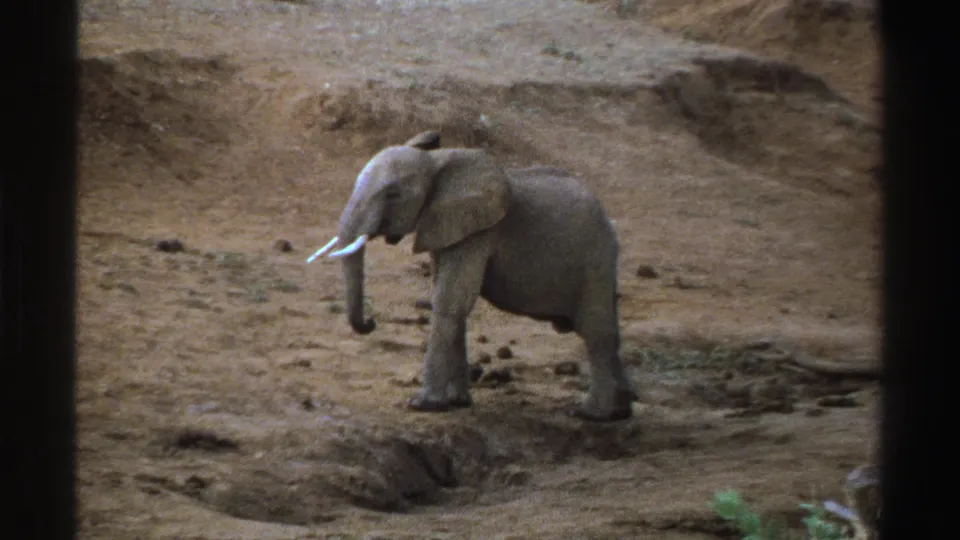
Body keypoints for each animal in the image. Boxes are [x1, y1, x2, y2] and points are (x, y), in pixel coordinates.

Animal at [308, 131, 635, 421]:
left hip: (594, 259)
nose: (372, 322)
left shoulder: (479, 231)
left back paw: (592, 414)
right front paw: (456, 402)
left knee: (596, 330)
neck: (437, 164)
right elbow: (451, 298)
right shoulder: (446, 228)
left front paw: (423, 405)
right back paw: (620, 412)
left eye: (393, 194)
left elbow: (450, 300)